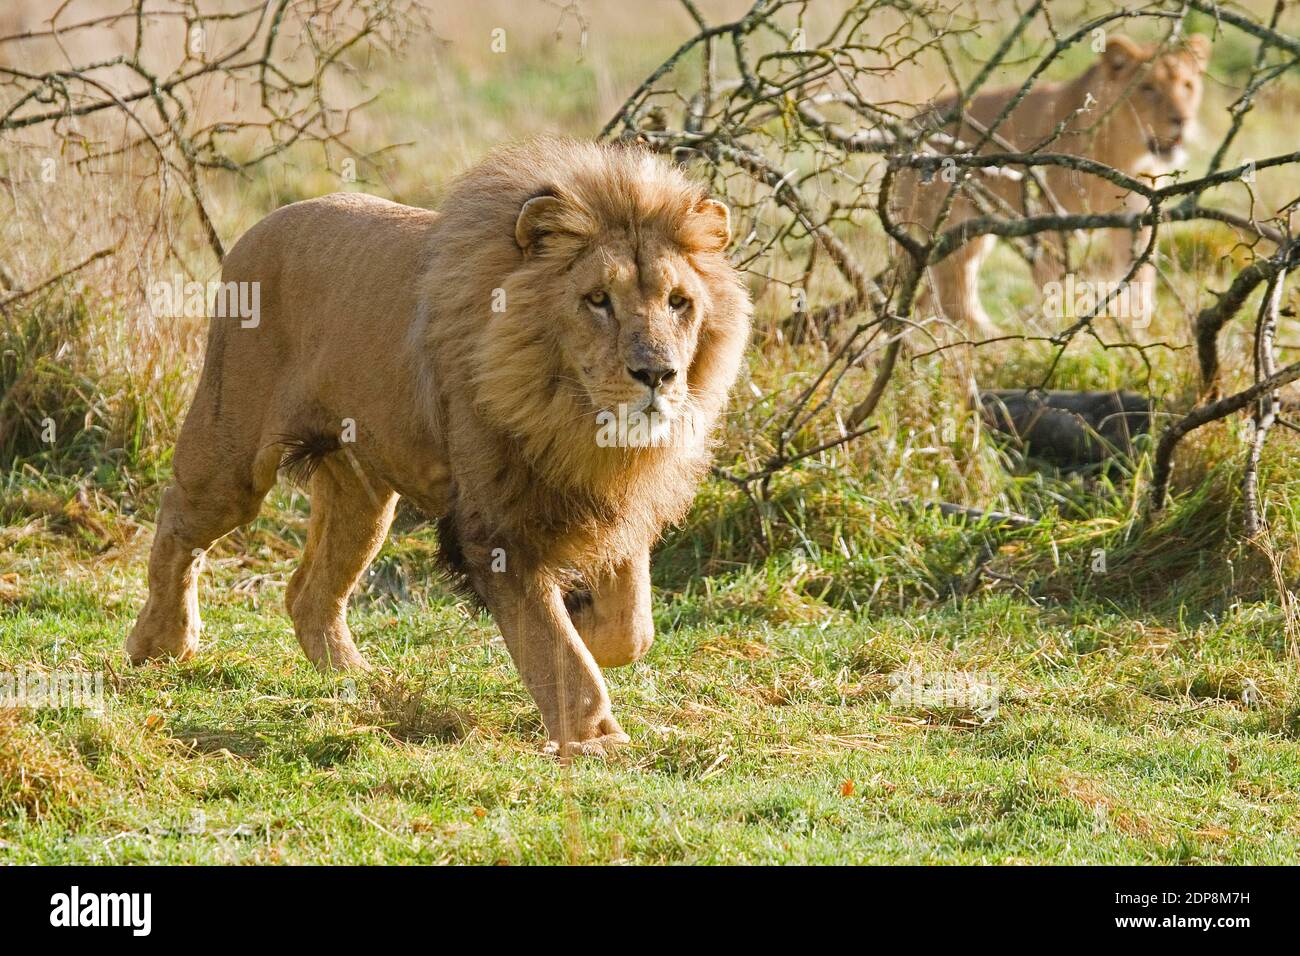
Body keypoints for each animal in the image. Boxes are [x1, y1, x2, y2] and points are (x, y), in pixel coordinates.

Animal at [126, 138, 752, 755]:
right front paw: (595, 738)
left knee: (308, 593)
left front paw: (588, 630)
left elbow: (631, 629)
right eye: (598, 299)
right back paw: (160, 643)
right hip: (231, 456)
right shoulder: (497, 530)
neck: (575, 422)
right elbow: (558, 650)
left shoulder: (617, 506)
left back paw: (360, 684)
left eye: (678, 302)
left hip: (363, 496)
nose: (658, 374)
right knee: (179, 523)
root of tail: (259, 227)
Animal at [898, 34, 1209, 334]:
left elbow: (1140, 273)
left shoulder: (1135, 215)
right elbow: (1052, 275)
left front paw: (1138, 322)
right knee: (950, 286)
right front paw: (1058, 324)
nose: (1182, 120)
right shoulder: (1047, 214)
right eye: (1148, 88)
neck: (1125, 153)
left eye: (1188, 86)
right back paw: (989, 335)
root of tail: (910, 125)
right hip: (948, 220)